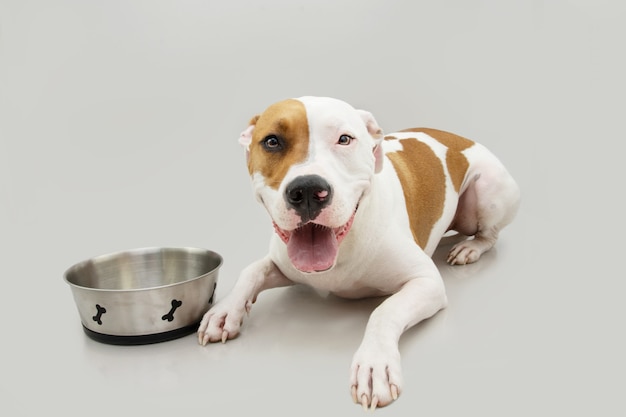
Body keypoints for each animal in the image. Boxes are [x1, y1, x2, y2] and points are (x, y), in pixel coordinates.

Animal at [197, 95, 520, 410]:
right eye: (272, 141)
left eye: (344, 139)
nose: (308, 190)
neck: (343, 246)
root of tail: (459, 137)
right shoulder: (284, 263)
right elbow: (252, 270)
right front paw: (224, 311)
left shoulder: (426, 282)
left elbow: (384, 311)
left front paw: (375, 365)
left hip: (490, 191)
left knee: (489, 234)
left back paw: (469, 248)